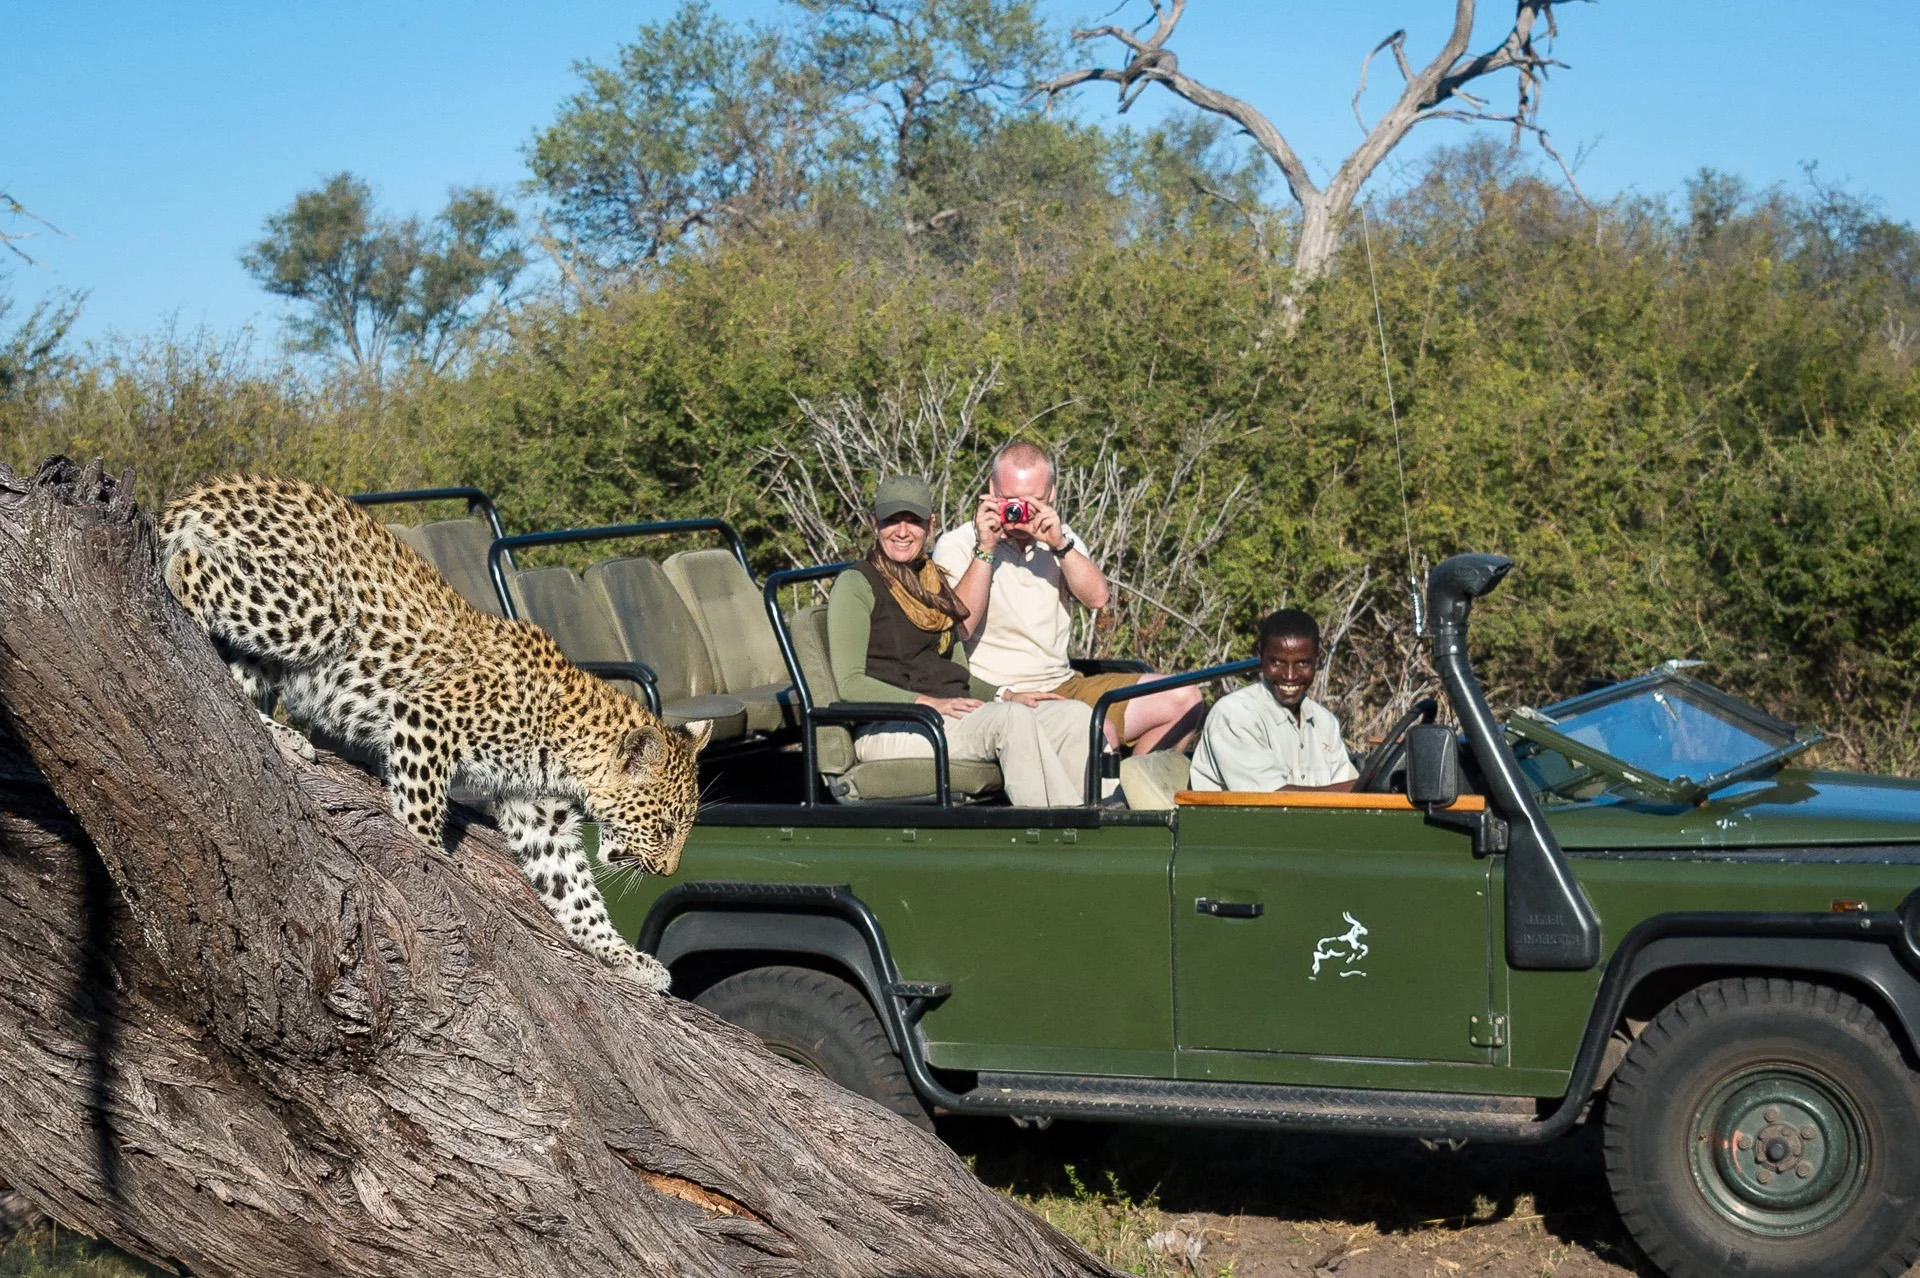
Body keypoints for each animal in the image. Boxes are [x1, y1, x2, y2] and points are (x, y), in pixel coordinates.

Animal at [158, 474, 712, 993]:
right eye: (665, 827)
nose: (667, 872)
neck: (569, 748)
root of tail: (222, 486)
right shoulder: (426, 717)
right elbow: (420, 808)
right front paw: (432, 859)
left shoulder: (539, 816)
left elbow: (576, 895)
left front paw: (625, 957)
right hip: (315, 610)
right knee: (189, 570)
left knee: (236, 681)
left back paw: (278, 733)